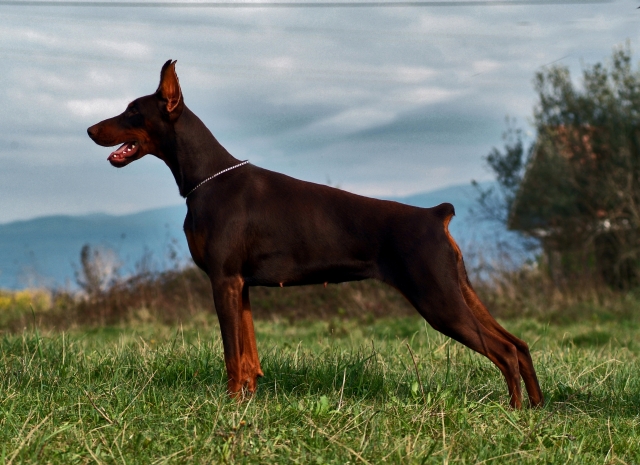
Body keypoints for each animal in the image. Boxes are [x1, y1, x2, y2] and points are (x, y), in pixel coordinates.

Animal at [87, 60, 543, 408]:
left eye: (132, 111)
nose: (90, 130)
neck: (207, 178)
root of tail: (436, 216)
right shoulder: (241, 285)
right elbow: (249, 356)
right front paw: (247, 400)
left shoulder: (224, 280)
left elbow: (232, 355)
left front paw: (230, 405)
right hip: (458, 290)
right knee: (518, 344)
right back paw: (537, 409)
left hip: (438, 299)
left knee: (504, 351)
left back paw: (514, 411)